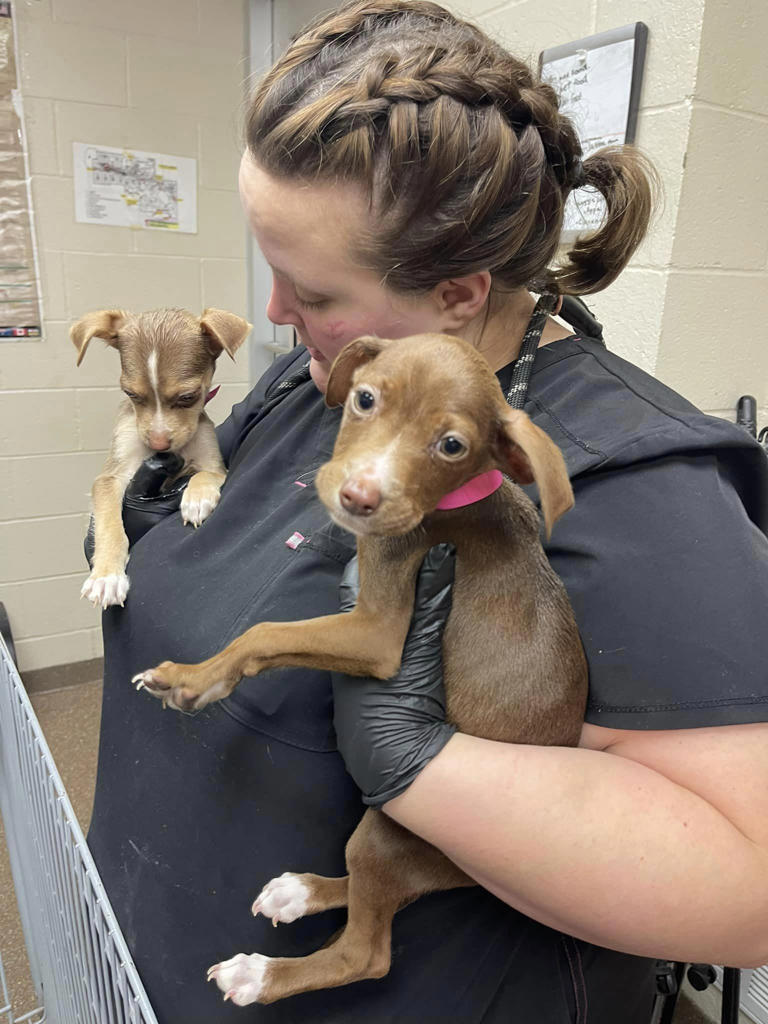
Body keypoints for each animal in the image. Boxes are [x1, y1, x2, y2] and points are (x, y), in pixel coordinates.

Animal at [72, 303, 249, 606]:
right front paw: (107, 577)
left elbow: (203, 474)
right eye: (130, 394)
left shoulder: (214, 465)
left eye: (189, 397)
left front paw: (197, 499)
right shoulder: (111, 477)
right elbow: (109, 525)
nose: (158, 444)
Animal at [134, 333, 589, 999]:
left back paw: (261, 974)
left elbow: (265, 632)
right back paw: (300, 893)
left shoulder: (379, 632)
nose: (358, 497)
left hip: (389, 835)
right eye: (365, 399)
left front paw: (194, 680)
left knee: (365, 954)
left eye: (452, 445)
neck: (452, 500)